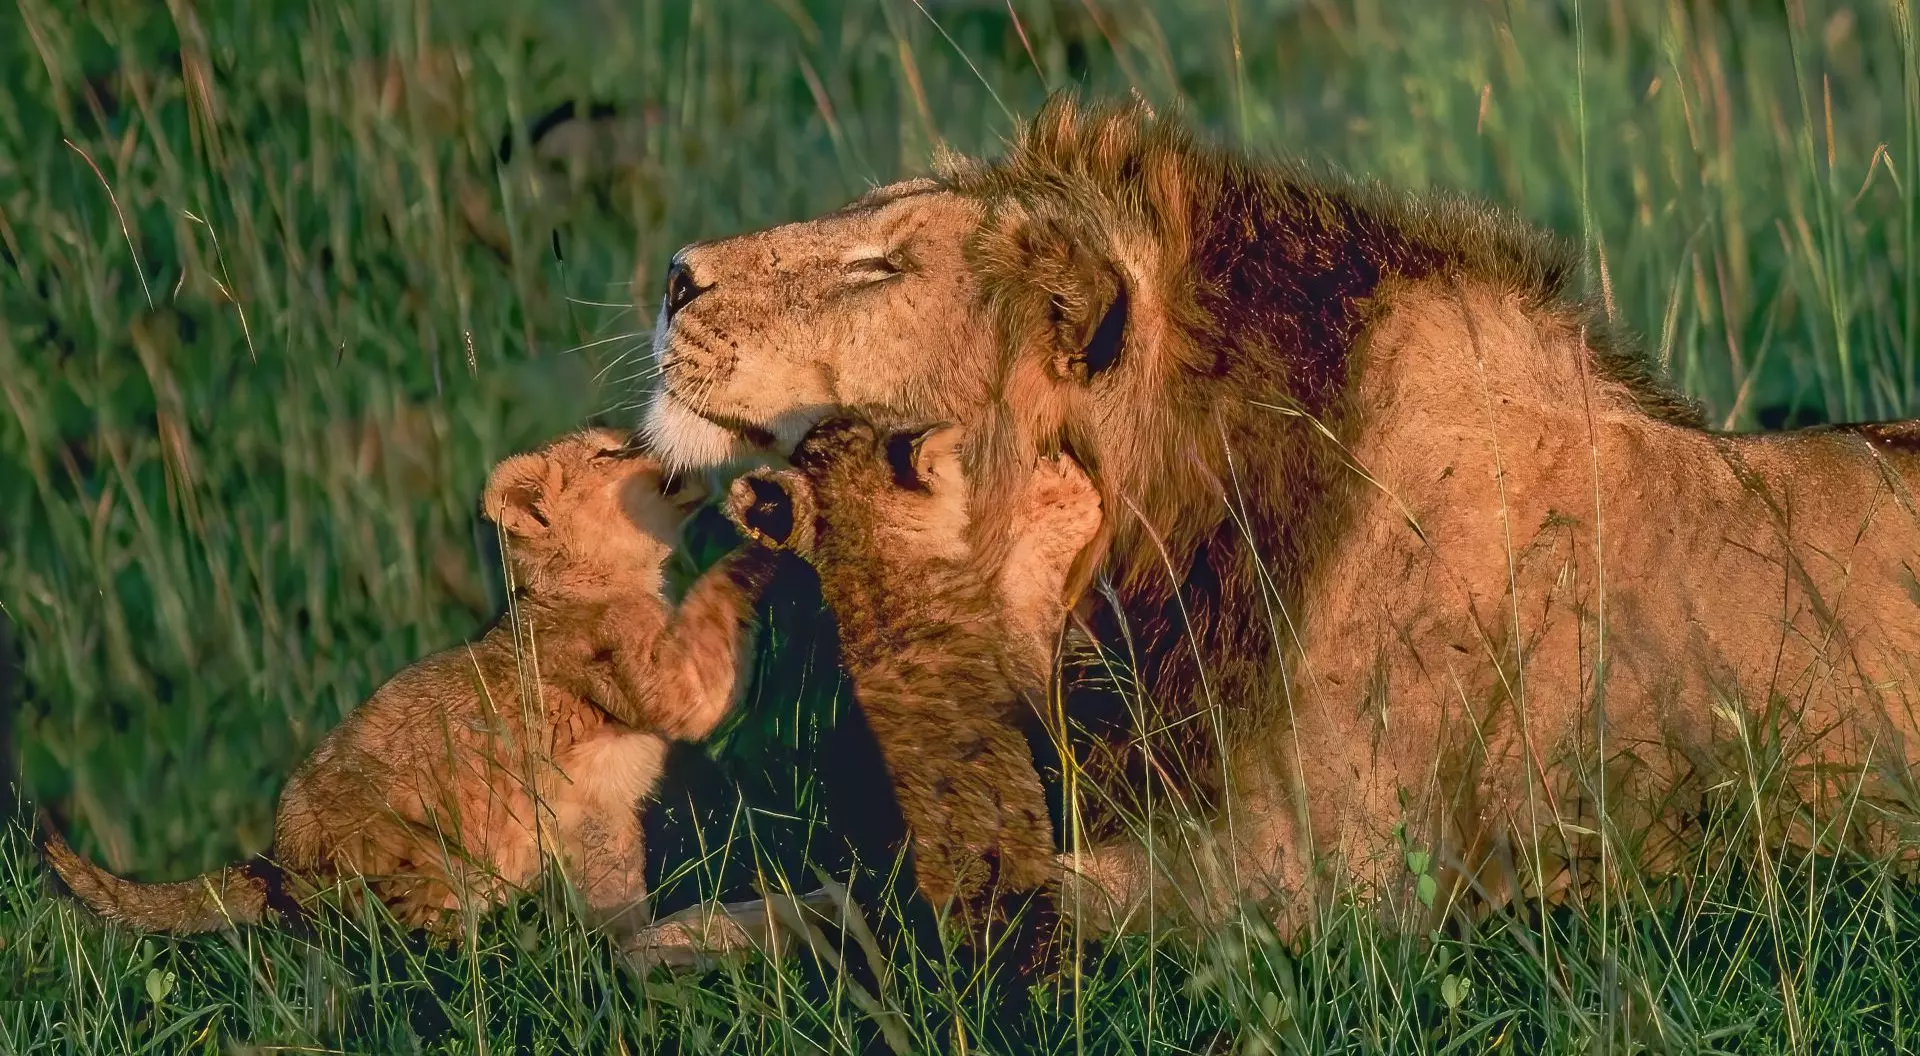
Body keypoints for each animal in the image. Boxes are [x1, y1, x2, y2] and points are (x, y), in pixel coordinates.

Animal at [43, 428, 776, 937]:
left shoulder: (600, 822)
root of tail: (273, 860)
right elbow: (709, 638)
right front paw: (763, 528)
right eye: (608, 451)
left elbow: (618, 905)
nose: (659, 440)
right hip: (426, 860)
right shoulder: (654, 678)